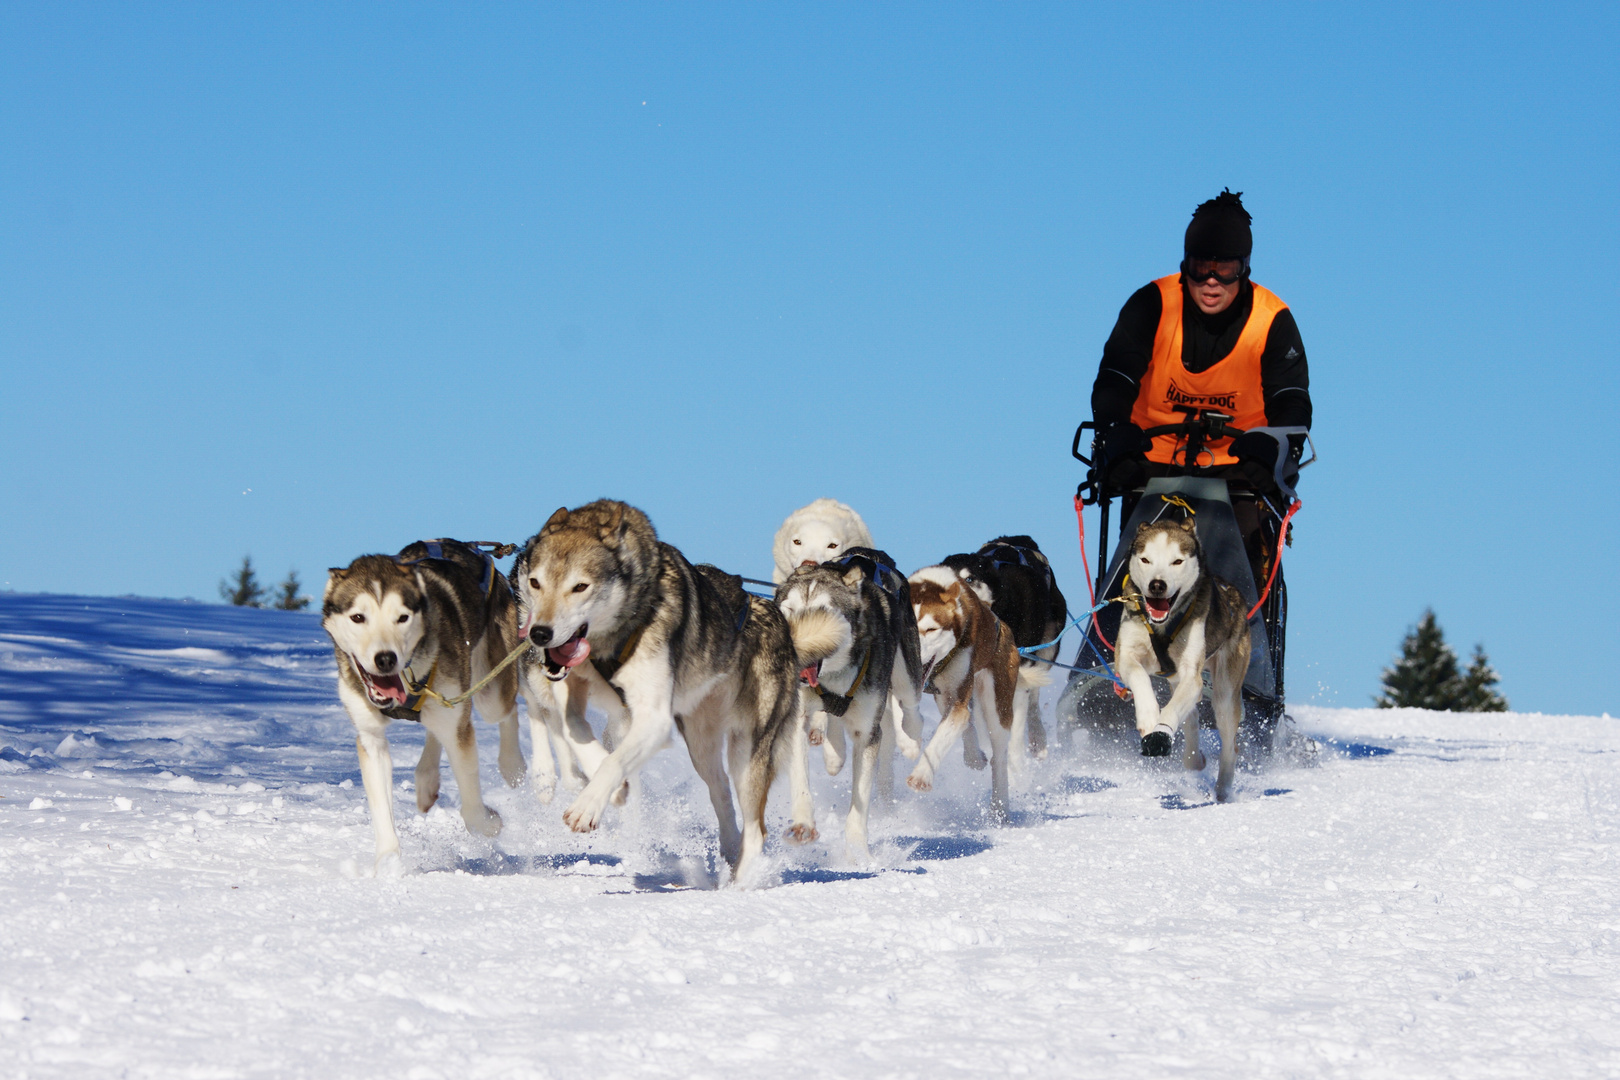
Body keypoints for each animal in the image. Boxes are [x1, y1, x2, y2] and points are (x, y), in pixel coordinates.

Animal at [325, 537, 528, 874]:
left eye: (402, 617)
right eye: (358, 617)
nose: (385, 658)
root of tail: (475, 549)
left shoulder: (460, 730)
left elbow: (473, 811)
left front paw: (492, 824)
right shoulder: (370, 738)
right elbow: (381, 807)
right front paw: (388, 864)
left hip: (490, 690)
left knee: (506, 711)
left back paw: (513, 765)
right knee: (436, 727)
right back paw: (426, 779)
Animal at [511, 501, 803, 880]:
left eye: (580, 587)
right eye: (535, 582)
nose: (540, 633)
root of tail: (775, 611)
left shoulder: (653, 719)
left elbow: (613, 761)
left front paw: (588, 806)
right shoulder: (570, 691)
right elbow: (576, 731)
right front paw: (614, 790)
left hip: (749, 750)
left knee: (756, 829)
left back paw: (740, 882)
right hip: (701, 745)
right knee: (722, 795)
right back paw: (728, 852)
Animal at [1114, 514, 1250, 803]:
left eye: (1177, 561)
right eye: (1146, 559)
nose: (1157, 585)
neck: (1162, 627)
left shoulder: (1191, 673)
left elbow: (1172, 710)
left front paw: (1160, 732)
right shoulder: (1126, 656)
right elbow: (1140, 678)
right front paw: (1148, 717)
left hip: (1224, 693)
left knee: (1229, 745)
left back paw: (1222, 790)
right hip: (1176, 679)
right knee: (1193, 714)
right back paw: (1194, 758)